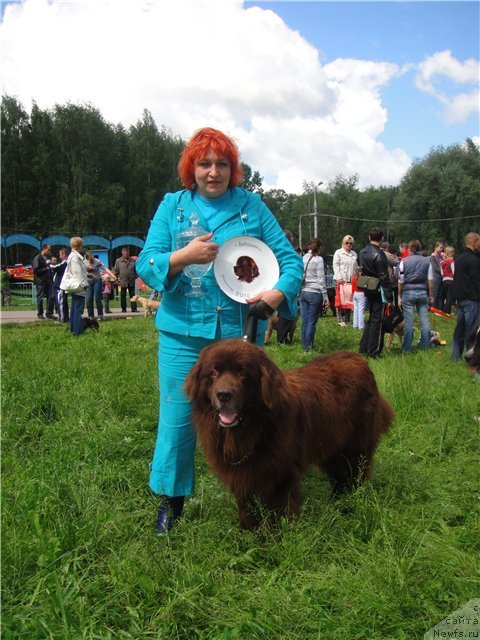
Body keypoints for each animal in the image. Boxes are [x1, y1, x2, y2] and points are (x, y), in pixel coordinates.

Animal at [184, 338, 394, 528]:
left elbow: (277, 513)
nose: (224, 394)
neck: (255, 428)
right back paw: (337, 502)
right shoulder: (242, 475)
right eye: (213, 372)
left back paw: (350, 505)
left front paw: (273, 539)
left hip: (355, 447)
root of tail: (358, 358)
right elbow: (247, 509)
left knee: (355, 475)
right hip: (333, 445)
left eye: (242, 372)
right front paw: (249, 534)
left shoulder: (280, 476)